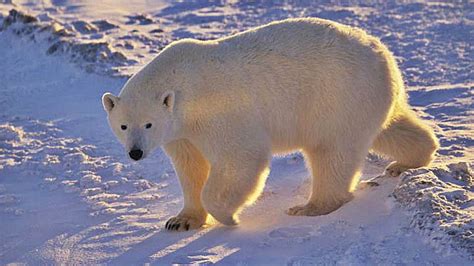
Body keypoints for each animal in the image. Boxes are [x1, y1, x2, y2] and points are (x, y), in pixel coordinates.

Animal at [102, 18, 438, 231]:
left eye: (148, 124)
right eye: (123, 126)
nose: (135, 153)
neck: (183, 84)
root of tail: (384, 55)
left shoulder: (219, 111)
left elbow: (241, 157)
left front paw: (228, 217)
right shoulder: (181, 133)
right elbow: (190, 167)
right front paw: (181, 220)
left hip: (337, 96)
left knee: (331, 153)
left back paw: (311, 206)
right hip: (366, 99)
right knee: (389, 129)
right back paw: (409, 160)